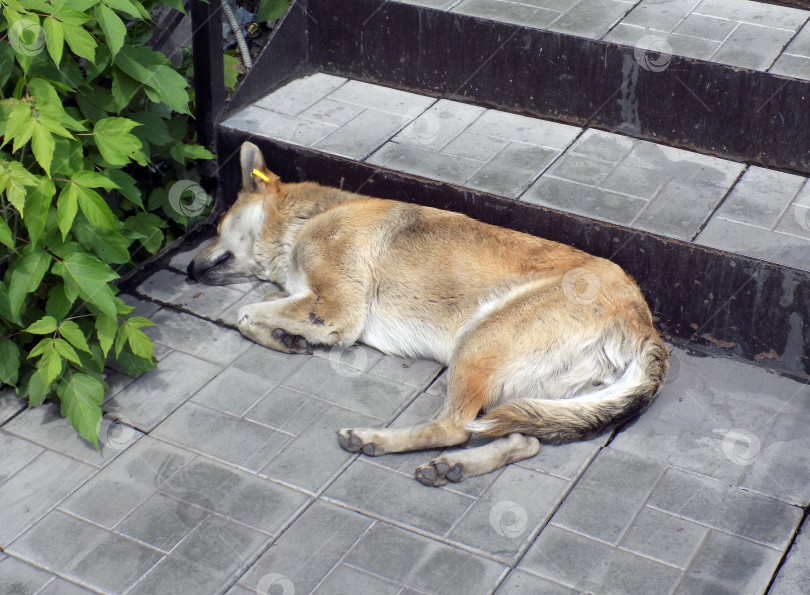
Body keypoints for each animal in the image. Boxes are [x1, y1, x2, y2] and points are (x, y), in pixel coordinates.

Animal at [191, 142, 668, 486]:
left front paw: (279, 335)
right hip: (530, 396)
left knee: (453, 428)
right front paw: (285, 337)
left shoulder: (336, 311)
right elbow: (257, 311)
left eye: (216, 225)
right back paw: (455, 468)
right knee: (521, 439)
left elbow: (246, 313)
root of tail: (645, 323)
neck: (308, 219)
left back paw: (376, 439)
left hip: (477, 342)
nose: (188, 268)